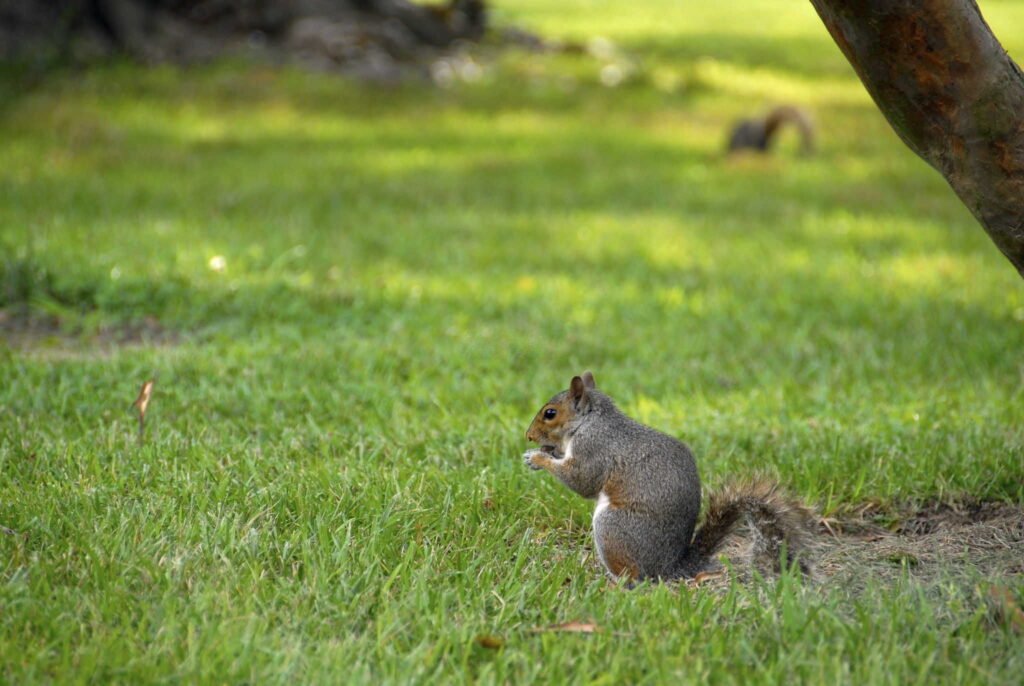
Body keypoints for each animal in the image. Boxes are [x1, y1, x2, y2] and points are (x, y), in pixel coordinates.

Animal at [524, 372, 811, 581]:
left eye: (550, 413)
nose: (528, 436)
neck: (590, 422)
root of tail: (669, 567)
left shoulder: (594, 448)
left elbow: (582, 481)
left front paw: (538, 458)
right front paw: (545, 452)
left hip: (613, 527)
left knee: (635, 577)